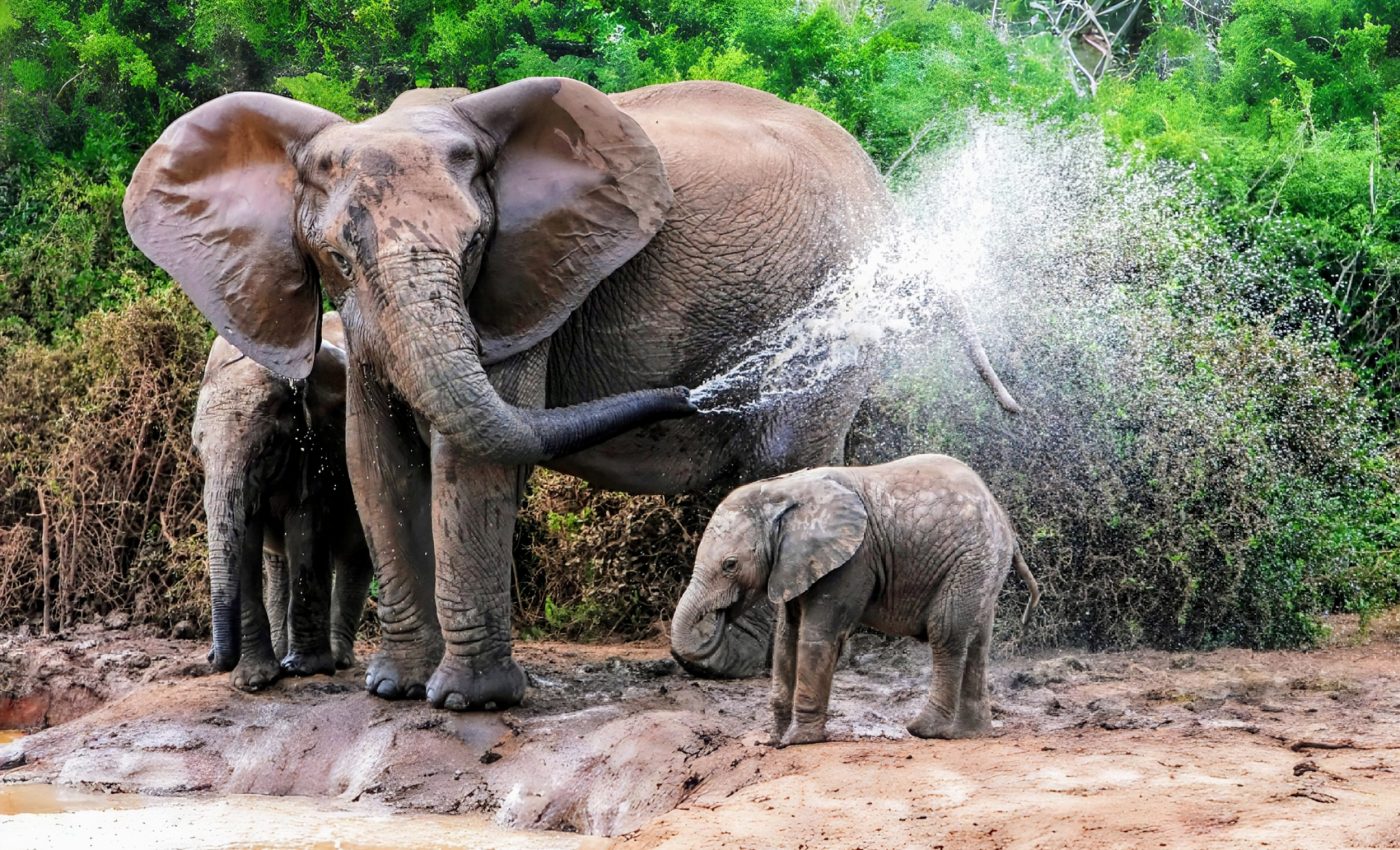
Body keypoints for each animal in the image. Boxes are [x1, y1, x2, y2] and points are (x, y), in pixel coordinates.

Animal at [193, 312, 372, 691]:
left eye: (267, 446)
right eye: (197, 450)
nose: (212, 658)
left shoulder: (320, 445)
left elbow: (305, 525)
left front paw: (305, 670)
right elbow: (247, 541)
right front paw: (254, 680)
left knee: (355, 553)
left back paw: (337, 659)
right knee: (278, 562)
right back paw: (281, 653)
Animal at [670, 454, 1040, 746]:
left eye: (730, 565)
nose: (718, 617)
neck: (785, 491)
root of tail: (1004, 521)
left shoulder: (853, 560)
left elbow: (818, 636)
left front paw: (799, 741)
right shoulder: (795, 563)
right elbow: (787, 639)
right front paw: (773, 740)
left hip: (971, 559)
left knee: (947, 632)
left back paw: (924, 730)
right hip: (984, 565)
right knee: (977, 641)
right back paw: (969, 733)